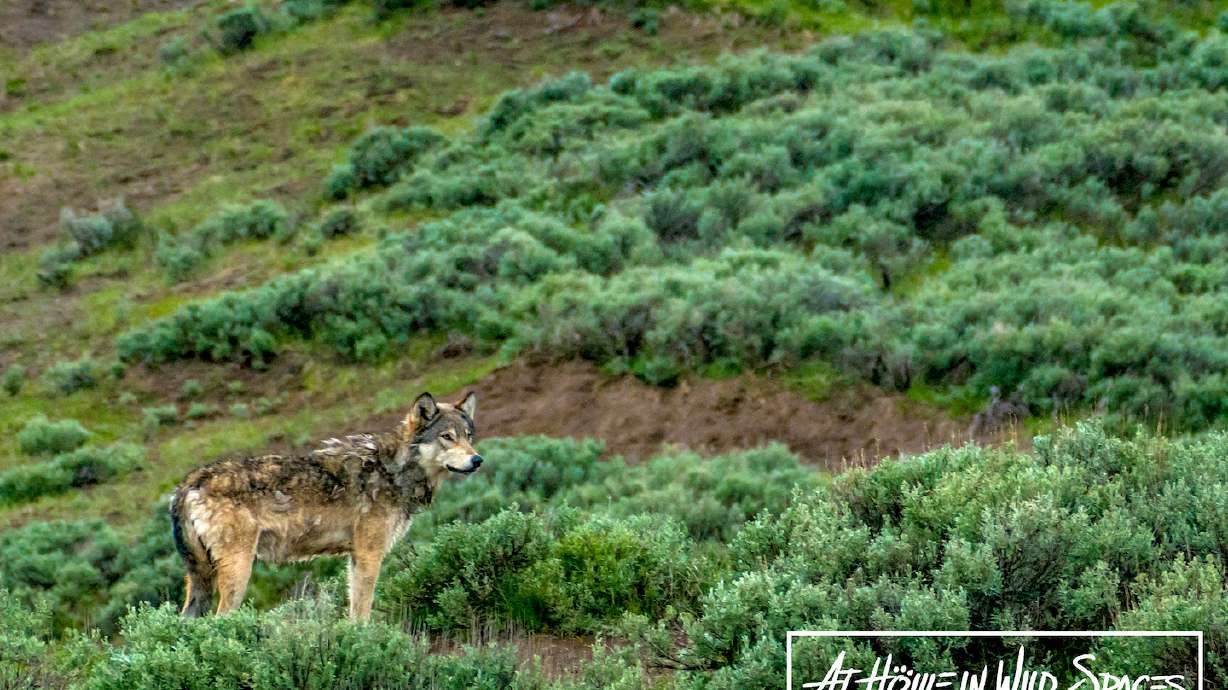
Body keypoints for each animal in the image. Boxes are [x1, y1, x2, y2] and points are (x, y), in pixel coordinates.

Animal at [169, 391, 481, 621]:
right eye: (447, 436)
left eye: (468, 436)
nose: (477, 460)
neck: (393, 471)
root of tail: (188, 484)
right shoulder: (370, 553)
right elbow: (362, 612)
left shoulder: (355, 556)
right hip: (238, 571)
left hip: (200, 578)